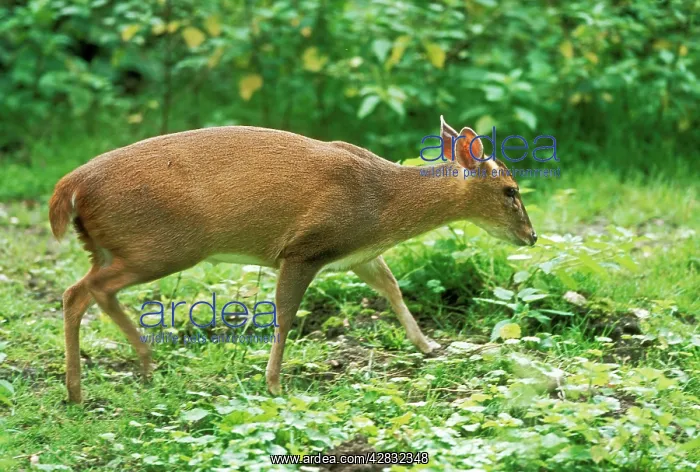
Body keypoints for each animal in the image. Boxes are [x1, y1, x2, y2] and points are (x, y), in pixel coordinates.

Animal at [49, 116, 537, 403]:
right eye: (510, 190)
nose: (531, 236)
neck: (383, 204)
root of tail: (70, 185)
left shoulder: (355, 254)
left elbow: (391, 286)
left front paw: (428, 345)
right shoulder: (305, 247)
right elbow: (284, 313)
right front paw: (274, 384)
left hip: (110, 245)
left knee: (79, 292)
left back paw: (93, 382)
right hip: (162, 246)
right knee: (88, 290)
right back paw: (130, 368)